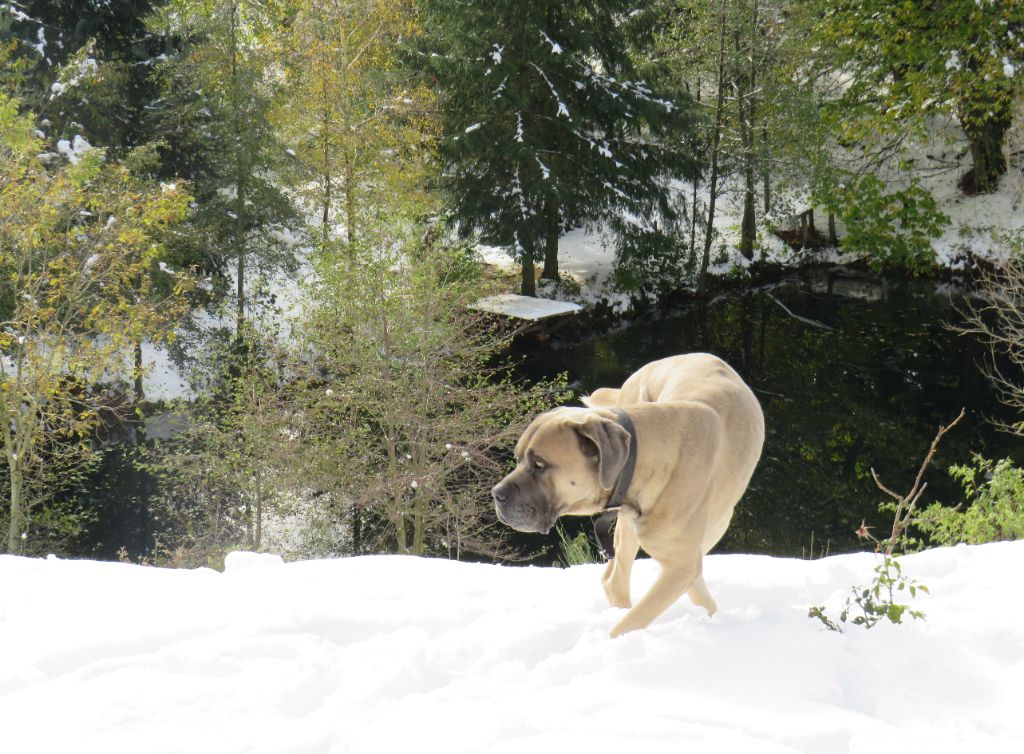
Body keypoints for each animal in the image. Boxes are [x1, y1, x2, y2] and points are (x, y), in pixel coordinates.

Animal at [491, 352, 765, 635]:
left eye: (539, 464)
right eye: (518, 458)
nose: (496, 494)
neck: (646, 453)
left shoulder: (680, 564)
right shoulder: (679, 563)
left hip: (716, 523)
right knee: (615, 579)